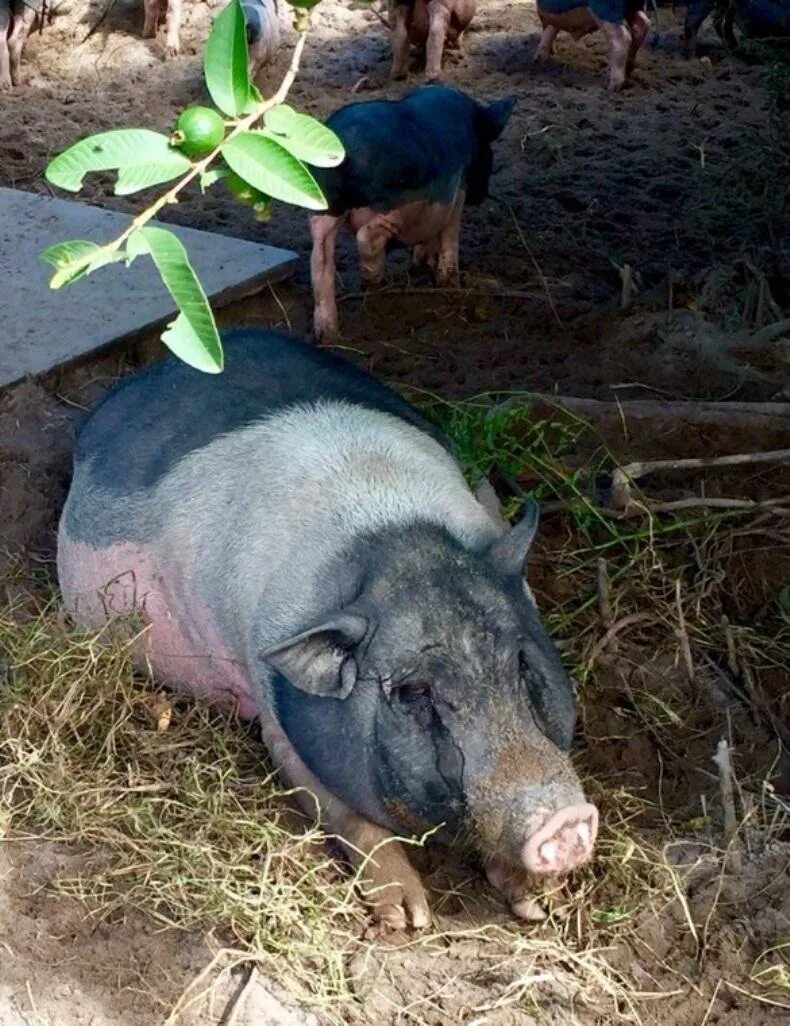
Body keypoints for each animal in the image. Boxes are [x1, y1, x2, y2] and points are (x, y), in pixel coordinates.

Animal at [56, 328, 599, 931]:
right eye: (412, 692)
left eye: (519, 661)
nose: (565, 821)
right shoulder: (279, 715)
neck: (388, 533)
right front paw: (408, 919)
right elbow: (342, 810)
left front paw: (537, 906)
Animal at [303, 84, 512, 340]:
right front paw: (449, 282)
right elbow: (450, 232)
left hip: (322, 208)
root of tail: (341, 149)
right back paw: (373, 280)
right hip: (401, 201)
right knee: (367, 237)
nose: (481, 196)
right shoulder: (456, 192)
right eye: (489, 150)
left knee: (320, 261)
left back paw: (328, 336)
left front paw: (422, 264)